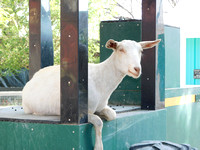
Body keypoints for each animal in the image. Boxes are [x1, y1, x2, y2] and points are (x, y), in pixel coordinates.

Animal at [22, 39, 161, 150]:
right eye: (121, 49)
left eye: (141, 51)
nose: (136, 69)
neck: (101, 81)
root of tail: (32, 78)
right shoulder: (81, 111)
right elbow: (98, 122)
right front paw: (98, 147)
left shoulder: (101, 106)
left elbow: (112, 115)